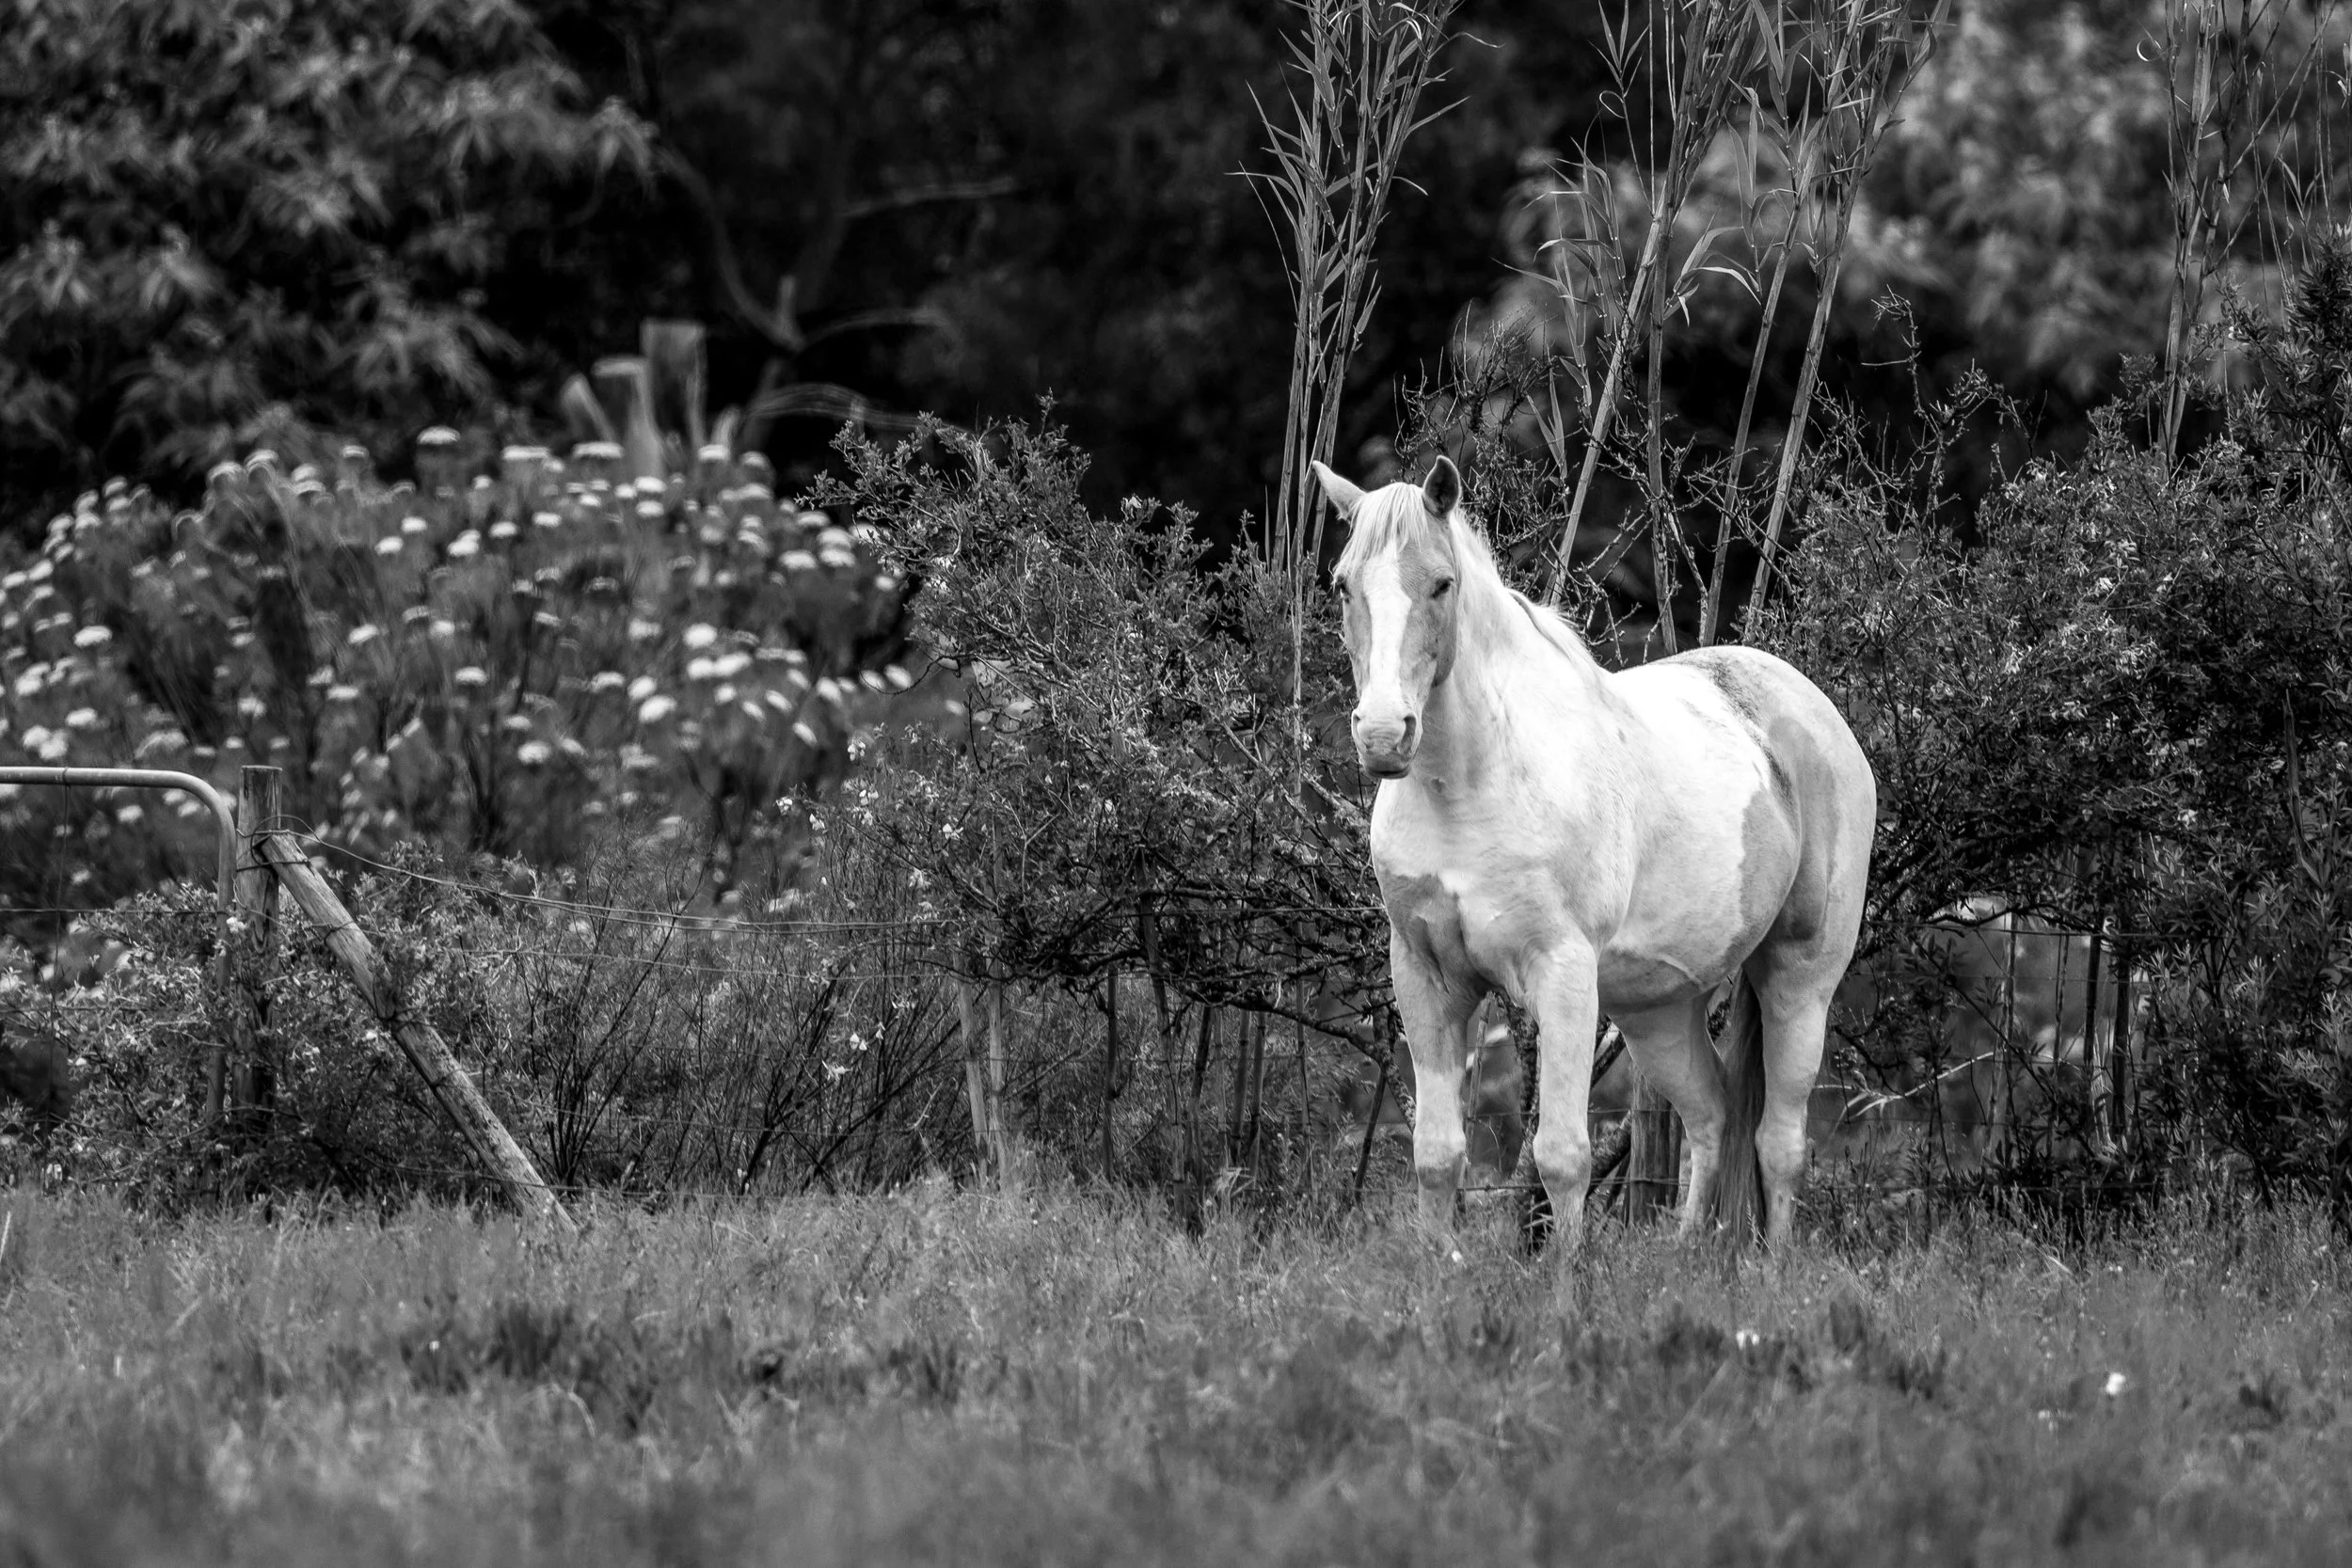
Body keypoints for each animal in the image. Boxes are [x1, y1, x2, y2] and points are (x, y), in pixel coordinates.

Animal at [1313, 455, 1876, 1248]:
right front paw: (1435, 1264)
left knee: (1780, 1142)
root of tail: (1815, 715)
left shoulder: (1563, 973)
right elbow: (1438, 1153)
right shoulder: (1426, 976)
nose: (1385, 734)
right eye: (1343, 583)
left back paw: (1773, 1265)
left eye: (1441, 583)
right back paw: (1684, 1256)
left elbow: (1562, 1156)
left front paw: (1565, 1279)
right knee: (1711, 1115)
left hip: (1800, 981)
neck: (1471, 784)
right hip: (1658, 1009)